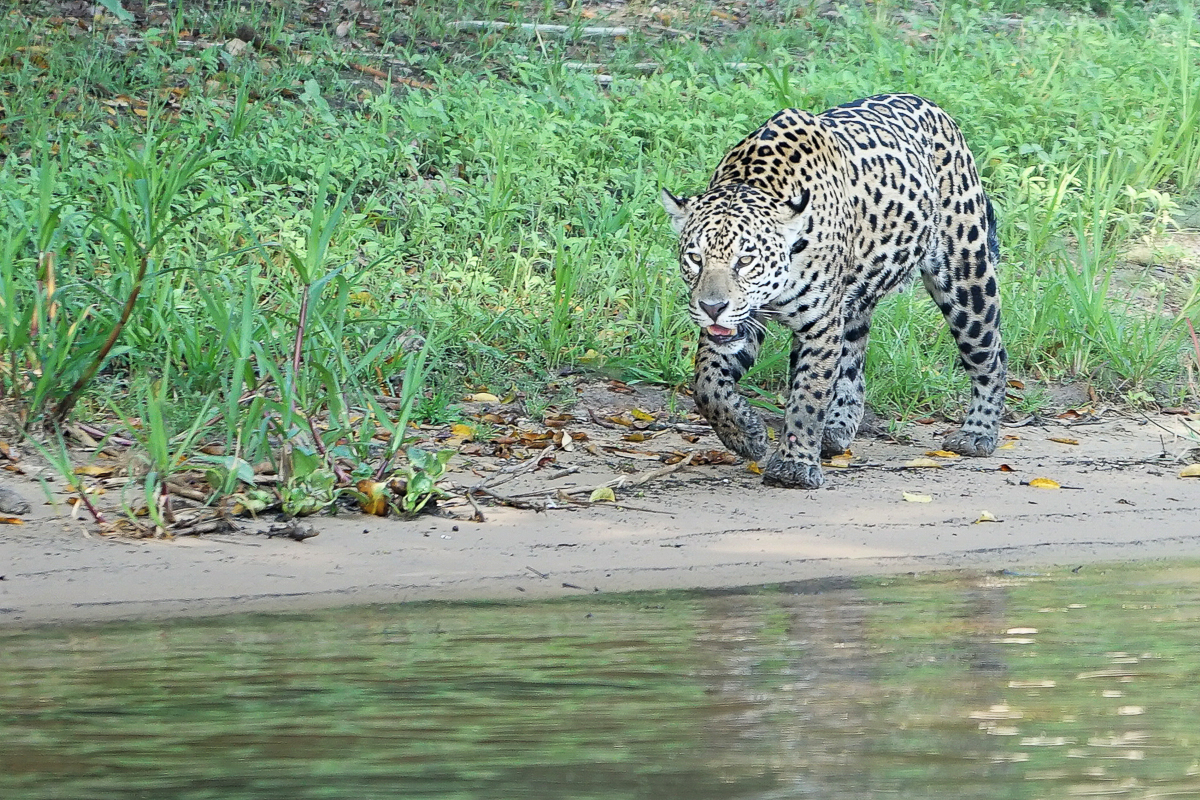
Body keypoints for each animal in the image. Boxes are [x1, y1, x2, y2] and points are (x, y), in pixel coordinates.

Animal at [661, 93, 1007, 490]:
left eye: (746, 259)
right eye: (695, 257)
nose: (712, 306)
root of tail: (934, 108)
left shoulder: (820, 324)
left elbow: (808, 395)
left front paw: (794, 466)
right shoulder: (744, 320)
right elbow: (706, 382)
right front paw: (745, 434)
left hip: (966, 278)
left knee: (990, 356)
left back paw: (978, 433)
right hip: (857, 301)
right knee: (853, 361)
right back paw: (836, 429)